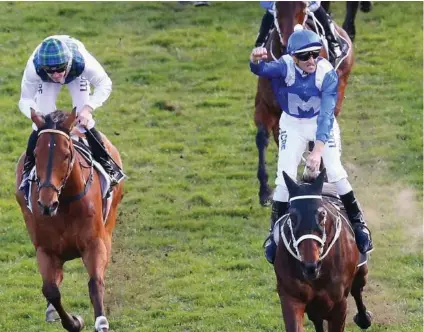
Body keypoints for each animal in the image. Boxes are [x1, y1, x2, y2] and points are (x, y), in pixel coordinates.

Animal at [14, 107, 124, 330]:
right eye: (36, 154)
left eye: (65, 155)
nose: (46, 204)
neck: (64, 204)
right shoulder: (45, 250)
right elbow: (50, 290)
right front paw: (74, 322)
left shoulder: (94, 243)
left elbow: (95, 282)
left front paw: (101, 321)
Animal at [272, 170, 372, 330]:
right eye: (292, 217)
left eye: (322, 214)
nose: (310, 266)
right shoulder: (291, 297)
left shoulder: (339, 304)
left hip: (362, 270)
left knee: (357, 290)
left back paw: (364, 318)